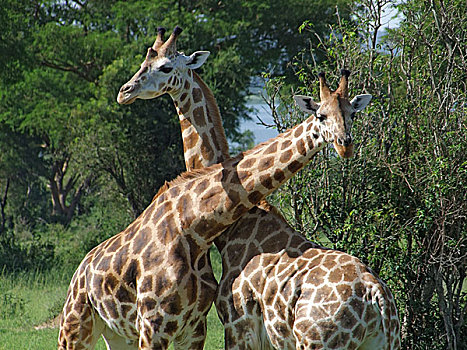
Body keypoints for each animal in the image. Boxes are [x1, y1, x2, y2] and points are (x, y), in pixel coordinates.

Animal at [118, 26, 402, 348]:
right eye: (322, 115)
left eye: (164, 67)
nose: (125, 92)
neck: (234, 226)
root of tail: (377, 298)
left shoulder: (237, 322)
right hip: (386, 340)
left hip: (317, 340)